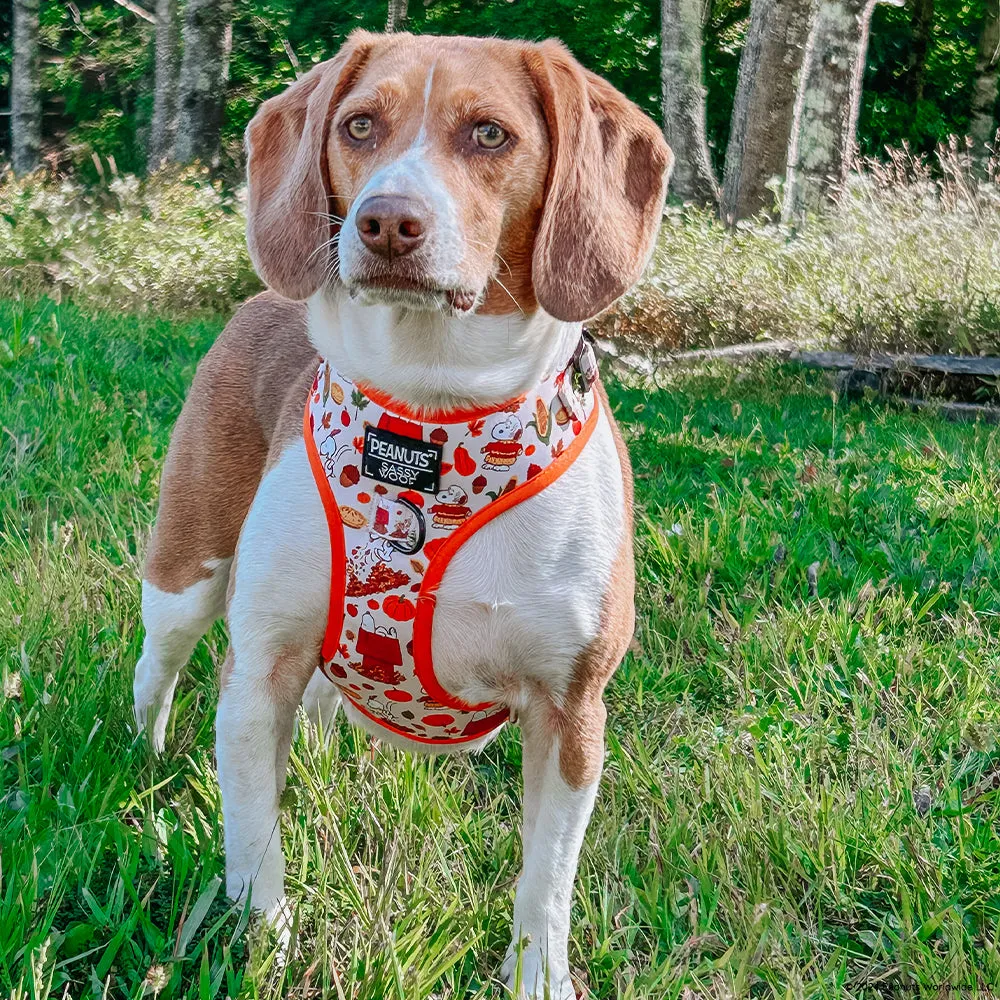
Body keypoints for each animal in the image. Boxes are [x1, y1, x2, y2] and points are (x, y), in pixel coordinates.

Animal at [137, 31, 672, 1000]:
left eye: (490, 133)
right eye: (358, 125)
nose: (383, 221)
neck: (432, 414)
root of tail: (262, 294)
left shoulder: (572, 711)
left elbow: (546, 880)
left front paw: (538, 977)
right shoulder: (257, 668)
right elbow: (253, 846)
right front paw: (262, 948)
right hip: (186, 568)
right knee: (156, 666)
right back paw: (140, 751)